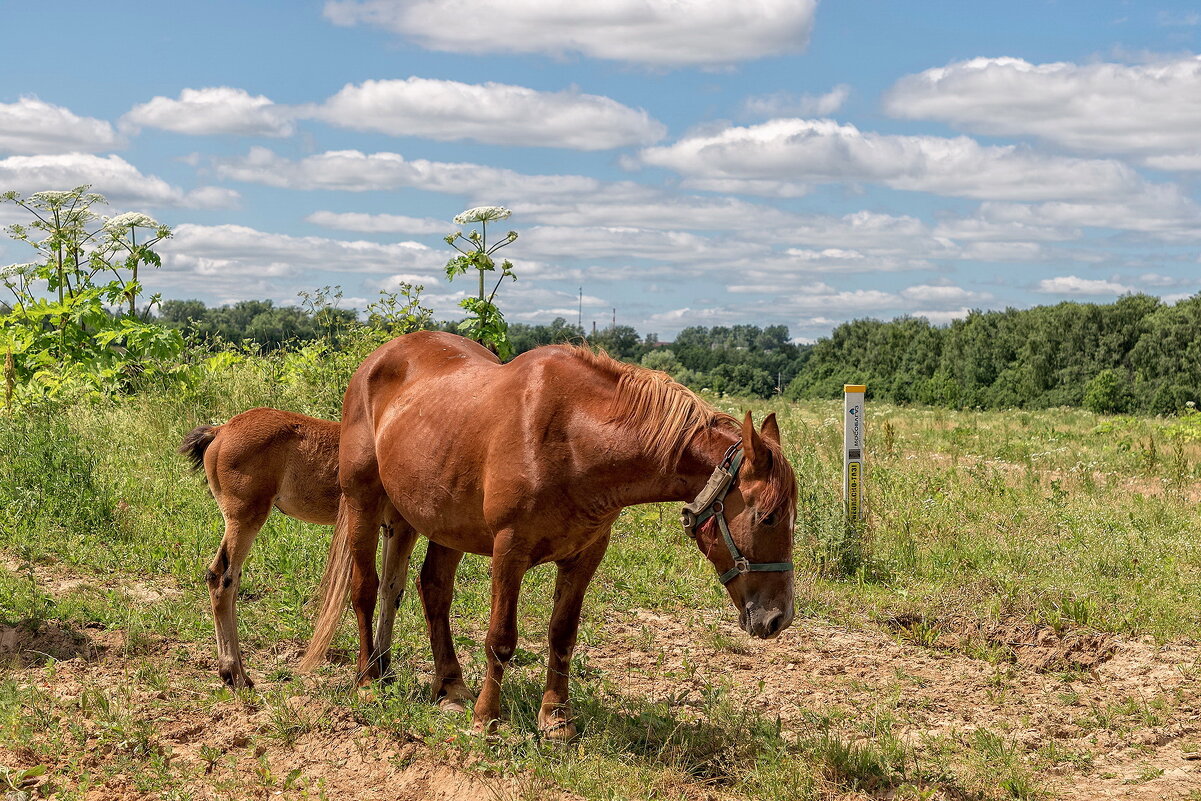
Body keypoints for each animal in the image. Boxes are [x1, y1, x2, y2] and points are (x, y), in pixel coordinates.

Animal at [180, 408, 415, 691]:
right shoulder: (403, 526)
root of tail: (221, 430)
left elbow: (389, 590)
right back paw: (235, 674)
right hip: (244, 520)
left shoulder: (389, 527)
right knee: (222, 579)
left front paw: (383, 667)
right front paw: (378, 670)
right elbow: (392, 590)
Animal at [302, 331, 797, 739]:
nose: (778, 618)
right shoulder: (510, 551)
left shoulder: (584, 556)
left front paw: (556, 720)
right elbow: (501, 639)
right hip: (364, 504)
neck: (575, 436)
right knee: (366, 590)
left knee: (431, 590)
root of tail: (378, 360)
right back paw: (370, 680)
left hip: (442, 522)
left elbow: (562, 636)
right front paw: (487, 721)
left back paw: (450, 687)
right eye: (769, 517)